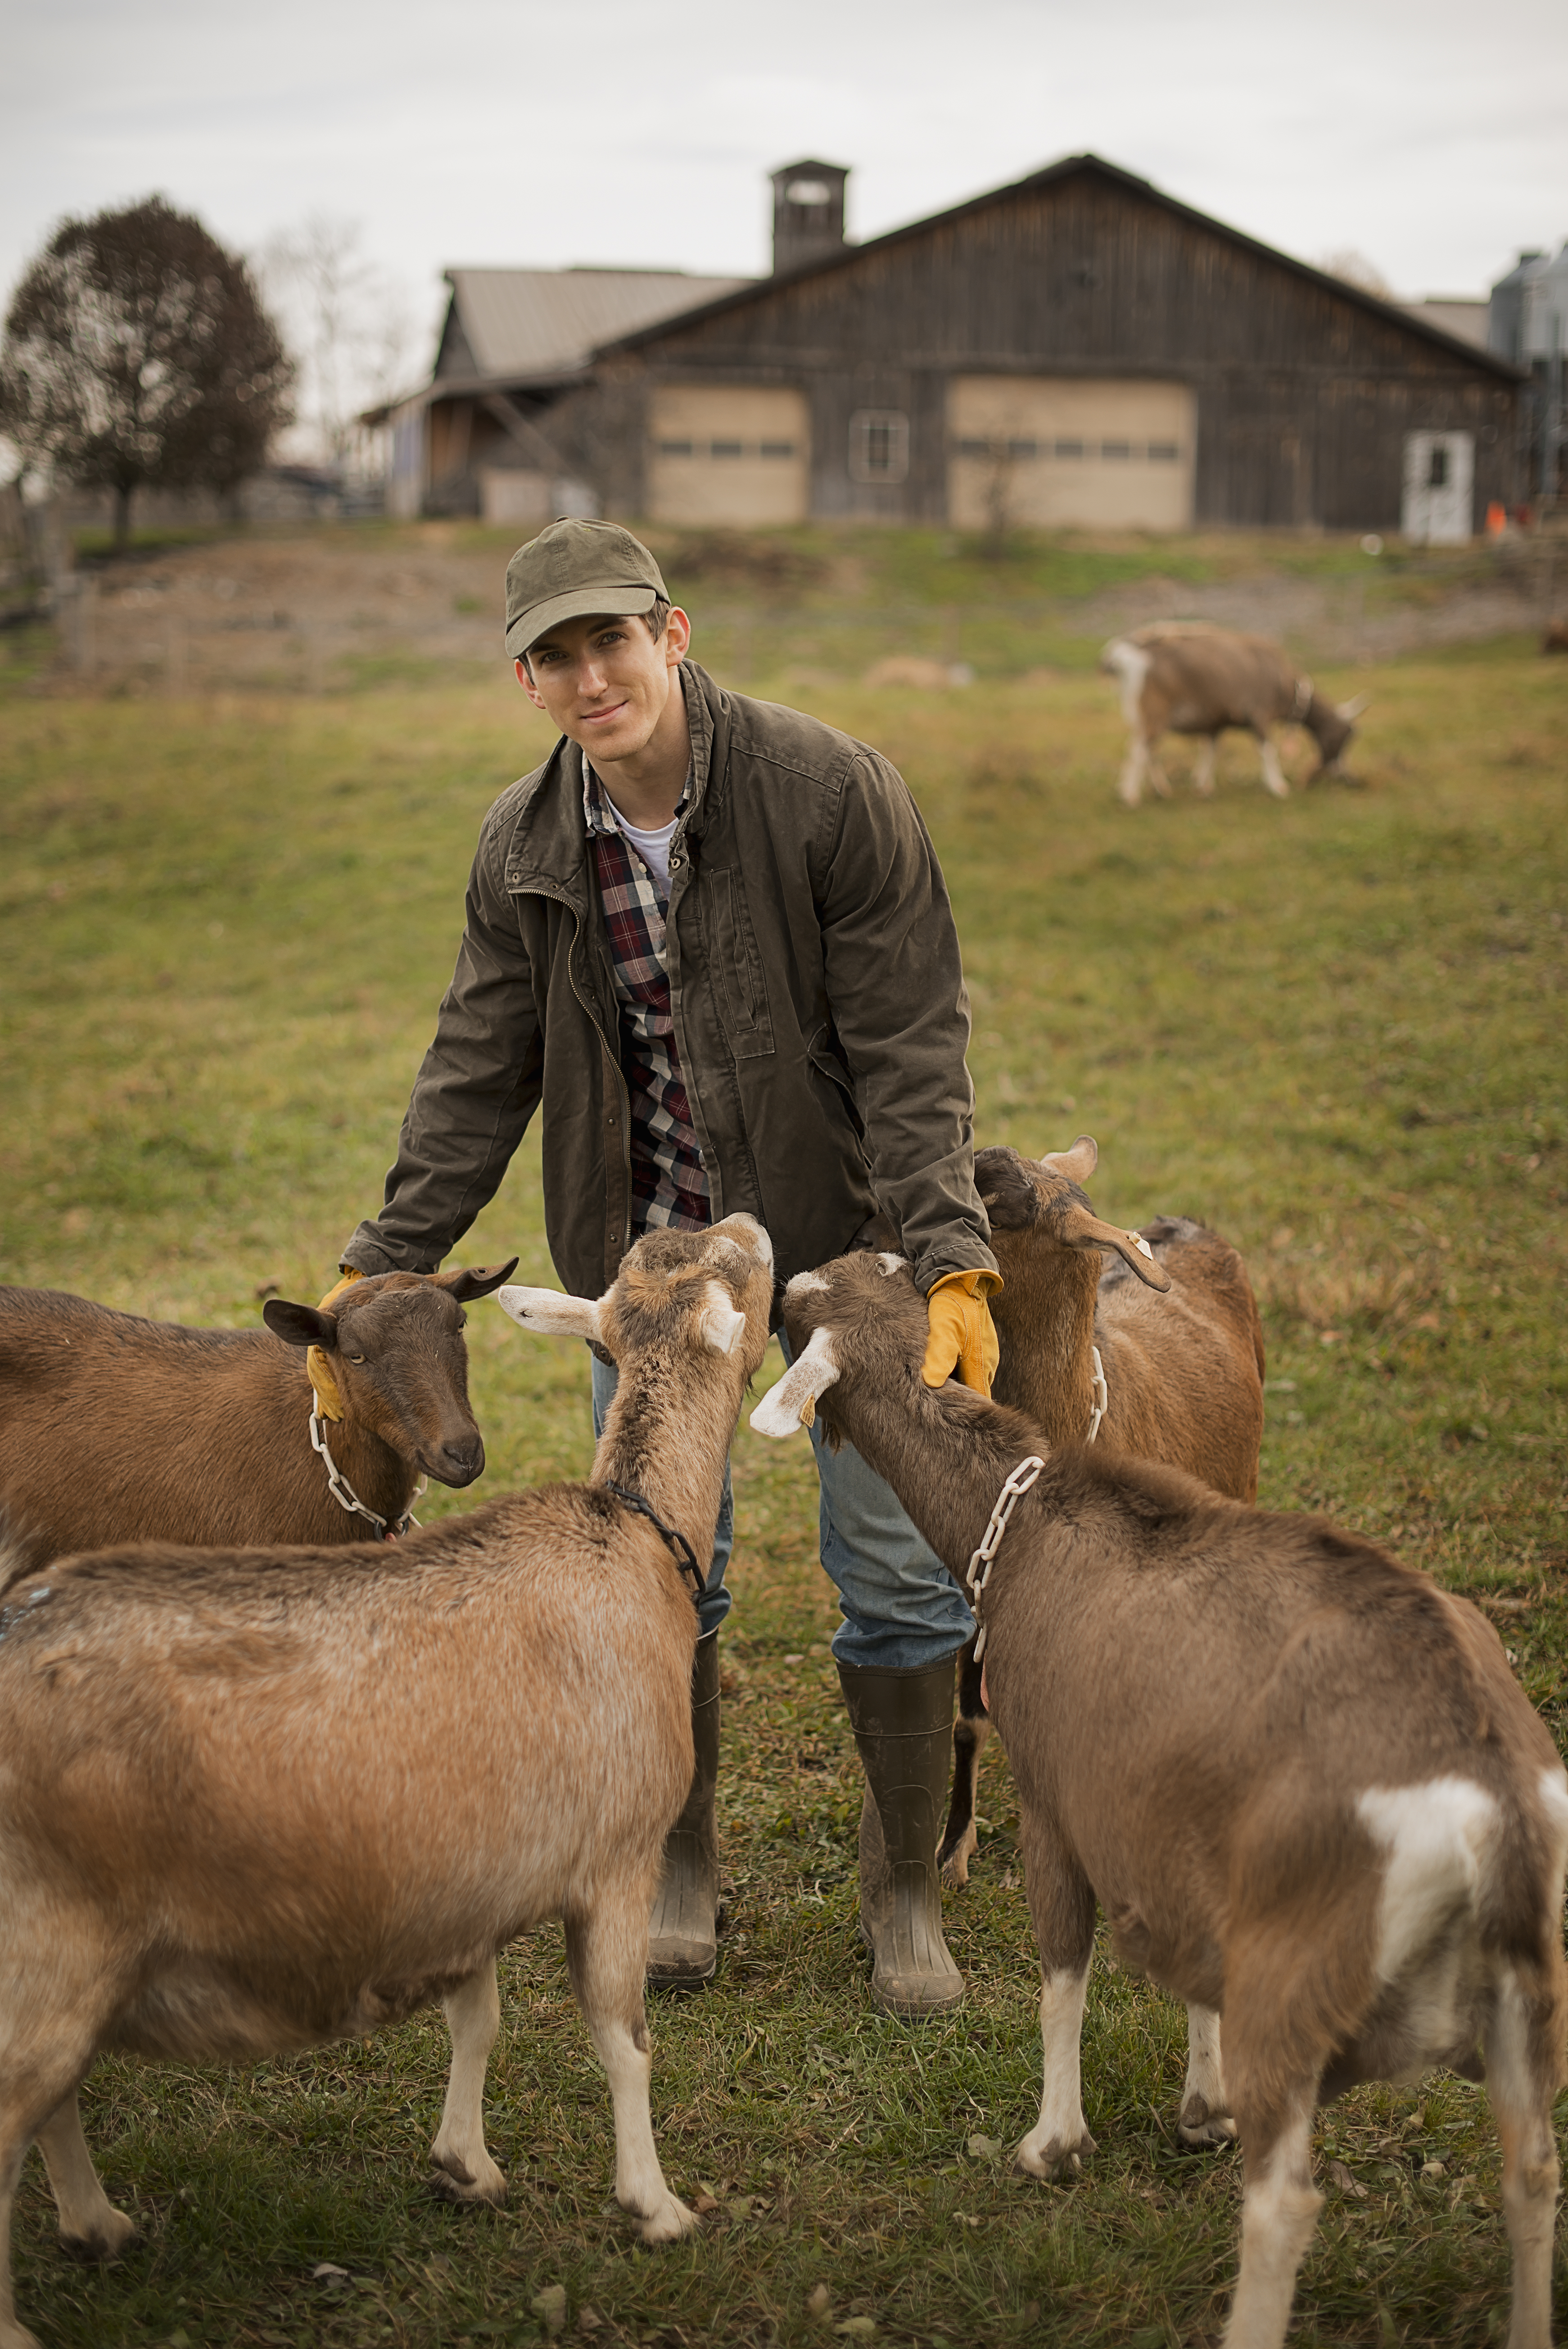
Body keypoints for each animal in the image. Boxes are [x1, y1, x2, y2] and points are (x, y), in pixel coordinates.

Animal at [757, 1259, 1568, 2349]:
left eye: (809, 1307)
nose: (778, 1287)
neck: (1024, 1520)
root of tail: (1486, 1799)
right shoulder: (1177, 1829)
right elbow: (1191, 1980)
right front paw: (1199, 2105)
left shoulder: (1061, 1800)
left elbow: (1062, 1970)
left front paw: (1052, 2142)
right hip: (1523, 1995)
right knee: (1531, 2172)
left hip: (1301, 1965)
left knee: (1286, 2199)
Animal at [1105, 620, 1373, 803]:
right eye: (1346, 735)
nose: (1346, 777)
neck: (1286, 688)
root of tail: (1127, 655)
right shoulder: (1261, 714)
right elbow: (1267, 750)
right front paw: (1279, 787)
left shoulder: (1215, 722)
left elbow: (1211, 751)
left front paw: (1203, 786)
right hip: (1153, 711)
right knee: (1139, 748)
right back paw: (1130, 796)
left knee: (1148, 750)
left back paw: (1161, 790)